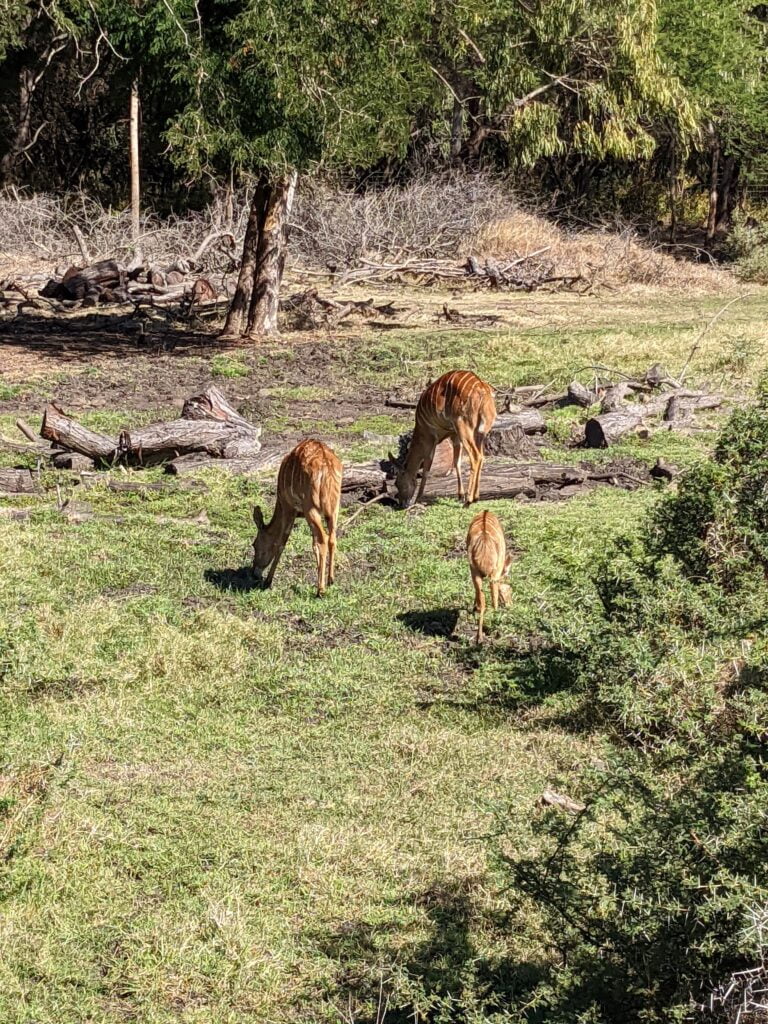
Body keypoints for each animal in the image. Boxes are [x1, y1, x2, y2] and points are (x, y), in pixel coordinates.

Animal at [252, 438, 342, 598]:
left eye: (255, 544)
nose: (253, 573)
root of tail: (327, 469)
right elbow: (313, 543)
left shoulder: (289, 508)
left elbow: (281, 543)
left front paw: (268, 581)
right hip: (334, 507)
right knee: (331, 538)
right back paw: (330, 580)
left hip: (310, 507)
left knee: (323, 539)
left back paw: (321, 590)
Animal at [397, 372, 499, 507]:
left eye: (398, 483)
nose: (401, 504)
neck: (420, 428)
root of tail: (483, 390)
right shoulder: (454, 435)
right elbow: (456, 462)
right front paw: (460, 496)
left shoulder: (431, 438)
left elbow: (427, 467)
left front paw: (418, 498)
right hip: (479, 432)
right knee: (481, 456)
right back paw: (475, 497)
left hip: (463, 425)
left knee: (476, 456)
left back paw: (468, 501)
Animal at [466, 509, 514, 643]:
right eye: (509, 588)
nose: (510, 605)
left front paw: (474, 608)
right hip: (495, 573)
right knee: (493, 601)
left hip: (474, 570)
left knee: (483, 599)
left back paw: (480, 637)